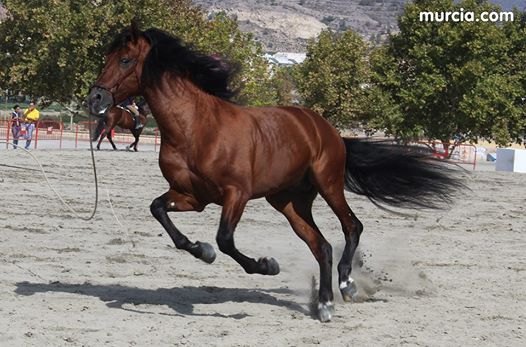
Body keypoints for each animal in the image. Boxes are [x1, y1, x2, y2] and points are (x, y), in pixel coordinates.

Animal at [87, 23, 466, 324]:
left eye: (125, 60)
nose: (95, 100)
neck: (195, 128)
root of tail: (324, 127)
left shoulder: (235, 194)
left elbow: (226, 240)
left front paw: (266, 265)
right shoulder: (191, 197)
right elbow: (160, 213)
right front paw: (201, 250)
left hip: (328, 184)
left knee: (351, 227)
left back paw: (347, 285)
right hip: (288, 202)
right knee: (321, 246)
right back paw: (324, 304)